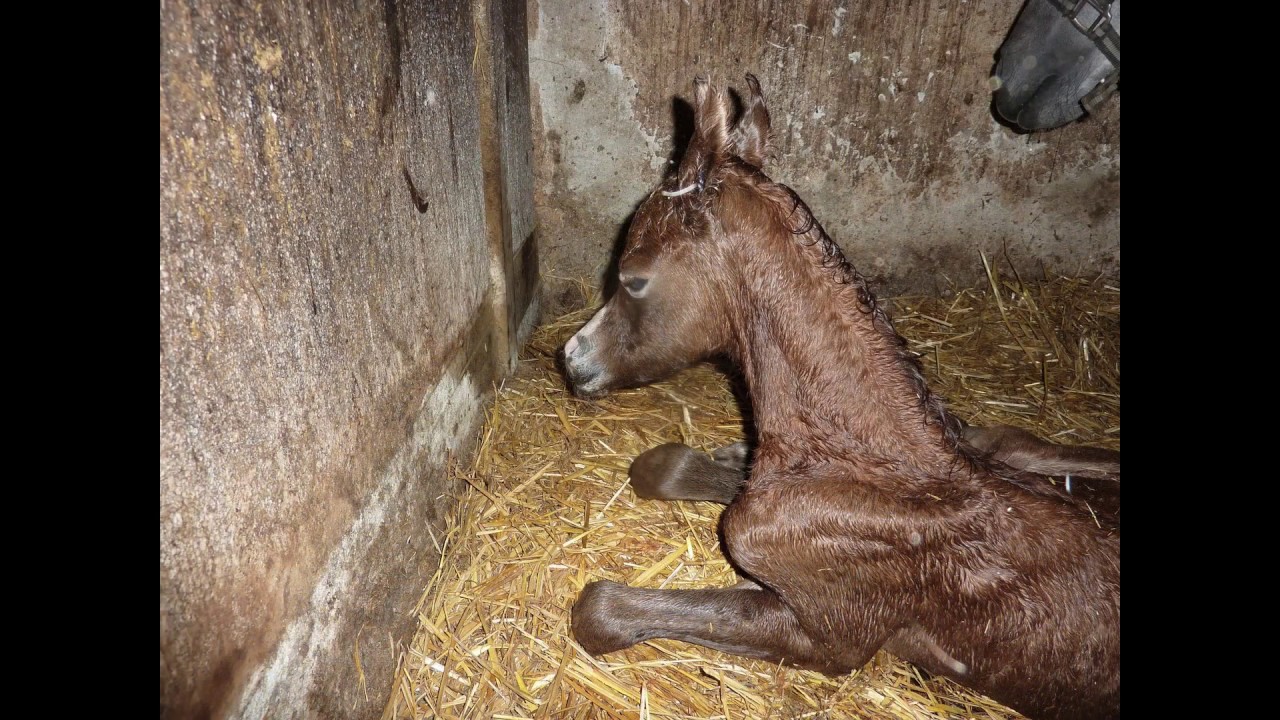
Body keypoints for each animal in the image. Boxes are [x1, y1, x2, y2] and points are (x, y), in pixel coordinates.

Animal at [560, 75, 1120, 720]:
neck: (875, 459)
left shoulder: (829, 637)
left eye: (633, 278)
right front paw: (726, 457)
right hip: (1013, 443)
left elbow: (602, 609)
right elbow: (668, 468)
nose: (572, 359)